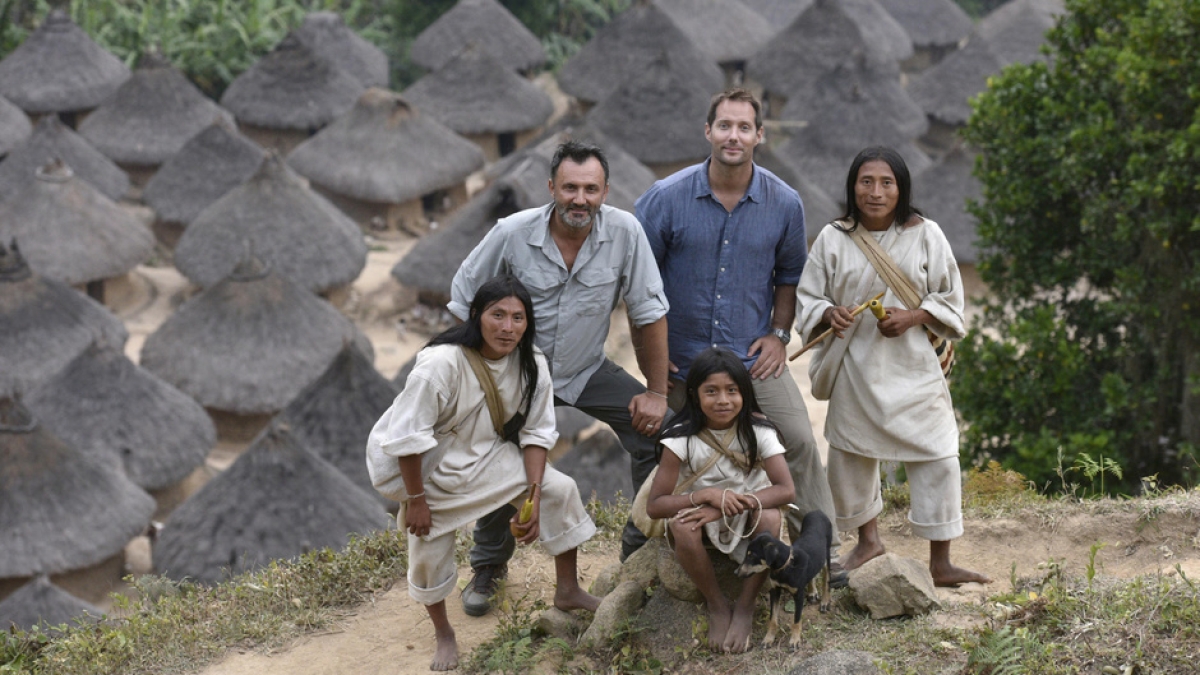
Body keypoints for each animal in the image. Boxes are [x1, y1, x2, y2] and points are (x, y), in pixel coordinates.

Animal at [729, 506, 835, 643]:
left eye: (752, 556)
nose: (736, 572)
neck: (785, 567)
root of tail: (817, 512)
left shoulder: (798, 595)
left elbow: (796, 619)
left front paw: (794, 640)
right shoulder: (775, 590)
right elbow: (773, 618)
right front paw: (768, 638)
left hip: (827, 553)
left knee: (827, 578)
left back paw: (825, 602)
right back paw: (812, 592)